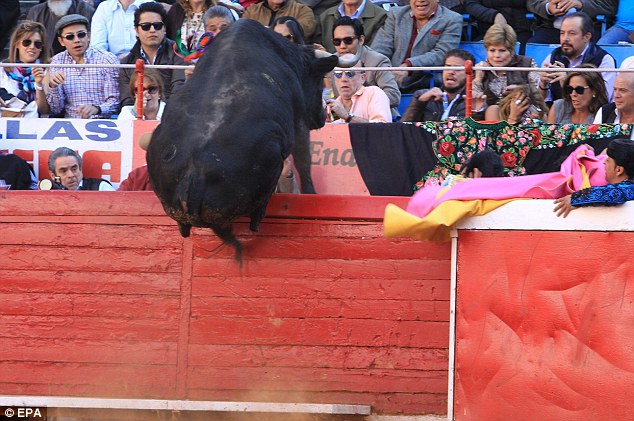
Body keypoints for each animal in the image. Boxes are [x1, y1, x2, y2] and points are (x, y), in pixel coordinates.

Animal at [146, 19, 358, 260]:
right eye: (318, 79)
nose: (322, 116)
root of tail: (194, 175)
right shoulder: (299, 124)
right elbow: (304, 161)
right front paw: (310, 193)